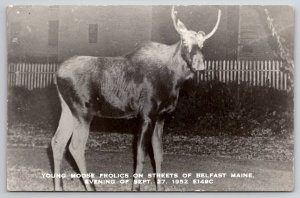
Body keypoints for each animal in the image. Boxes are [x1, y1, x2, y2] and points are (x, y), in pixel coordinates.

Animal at [51, 6, 220, 191]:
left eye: (203, 43)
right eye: (184, 41)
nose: (199, 63)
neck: (175, 80)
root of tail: (57, 74)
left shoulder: (161, 116)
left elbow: (159, 155)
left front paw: (160, 188)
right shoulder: (146, 114)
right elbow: (140, 155)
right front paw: (136, 188)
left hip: (68, 109)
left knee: (57, 141)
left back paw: (59, 187)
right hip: (83, 110)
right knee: (75, 146)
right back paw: (91, 188)